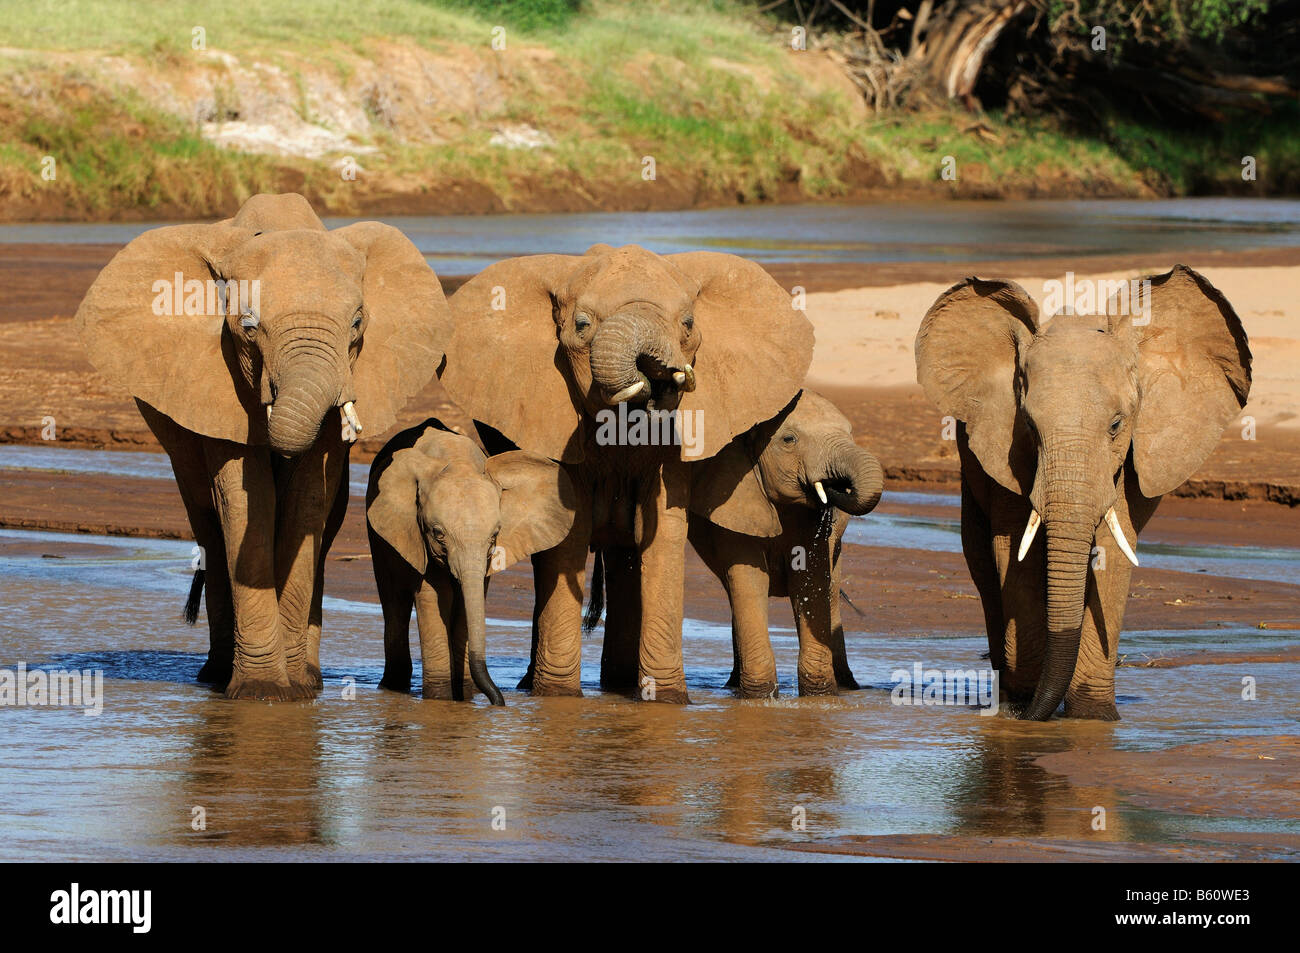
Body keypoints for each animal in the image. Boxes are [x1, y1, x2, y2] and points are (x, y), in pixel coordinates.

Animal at [72, 193, 447, 696]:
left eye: (356, 323)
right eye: (248, 327)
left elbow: (305, 501)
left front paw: (295, 692)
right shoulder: (218, 378)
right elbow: (248, 500)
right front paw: (261, 694)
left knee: (323, 529)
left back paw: (306, 676)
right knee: (208, 524)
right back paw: (216, 676)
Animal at [364, 421, 572, 702]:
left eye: (495, 535)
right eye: (438, 533)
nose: (499, 701)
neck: (456, 461)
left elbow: (470, 598)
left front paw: (463, 695)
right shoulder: (419, 535)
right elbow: (433, 594)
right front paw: (440, 699)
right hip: (378, 536)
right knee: (393, 598)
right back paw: (391, 687)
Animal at [441, 241, 816, 702]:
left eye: (688, 323)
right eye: (581, 325)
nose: (655, 377)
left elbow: (663, 530)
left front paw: (667, 701)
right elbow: (571, 534)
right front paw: (558, 699)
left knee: (626, 553)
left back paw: (619, 685)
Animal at [915, 263, 1248, 717]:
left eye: (1116, 425)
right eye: (1029, 426)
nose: (1029, 713)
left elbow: (1112, 547)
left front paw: (1093, 716)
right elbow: (1014, 551)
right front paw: (1023, 705)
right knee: (982, 565)